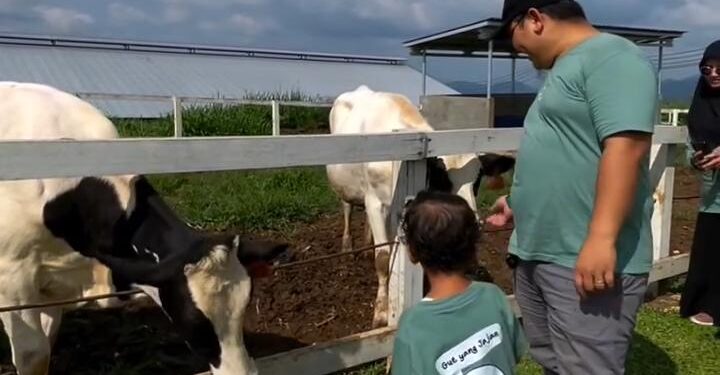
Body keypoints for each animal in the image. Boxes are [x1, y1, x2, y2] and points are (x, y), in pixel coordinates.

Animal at [324, 86, 516, 328]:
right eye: (441, 176)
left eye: (478, 178)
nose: (474, 222)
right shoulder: (375, 202)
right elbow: (383, 258)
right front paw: (381, 313)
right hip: (345, 186)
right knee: (347, 208)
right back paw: (347, 246)